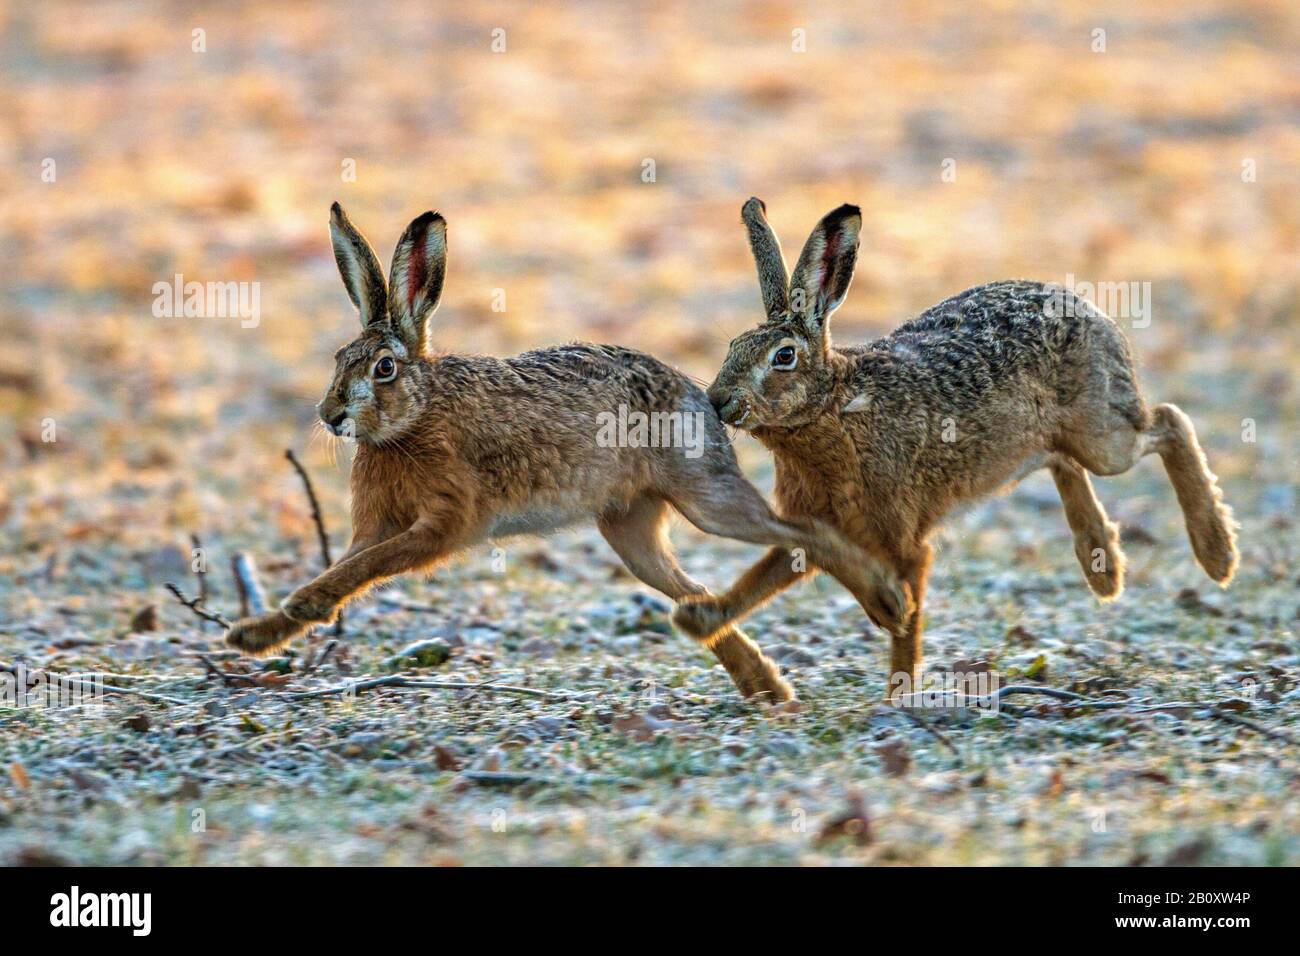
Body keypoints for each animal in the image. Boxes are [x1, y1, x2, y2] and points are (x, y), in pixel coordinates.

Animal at [223, 203, 913, 702]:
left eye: (385, 368)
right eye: (340, 359)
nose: (330, 414)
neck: (417, 416)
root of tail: (699, 393)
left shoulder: (442, 523)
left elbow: (365, 567)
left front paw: (286, 613)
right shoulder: (379, 522)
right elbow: (348, 565)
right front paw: (257, 634)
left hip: (706, 498)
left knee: (802, 532)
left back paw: (885, 601)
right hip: (629, 531)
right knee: (691, 585)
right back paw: (766, 687)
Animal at [673, 197, 1238, 700]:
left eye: (784, 356)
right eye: (732, 347)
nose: (718, 400)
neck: (832, 407)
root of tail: (1083, 304)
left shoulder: (904, 540)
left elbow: (907, 624)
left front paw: (898, 694)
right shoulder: (816, 528)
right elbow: (771, 576)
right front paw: (699, 616)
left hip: (1102, 437)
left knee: (1167, 422)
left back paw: (1215, 554)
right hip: (1040, 440)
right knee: (1064, 459)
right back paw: (1103, 565)